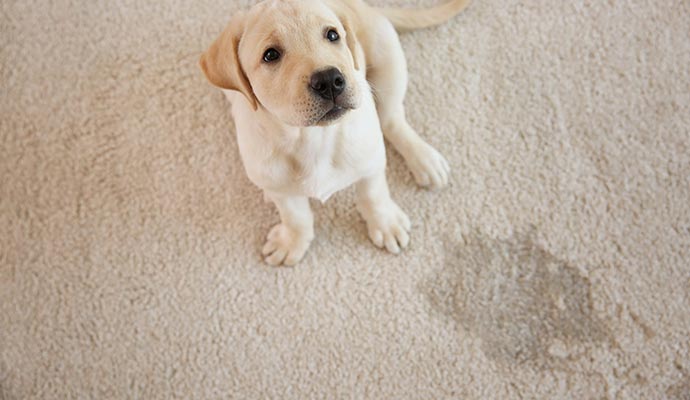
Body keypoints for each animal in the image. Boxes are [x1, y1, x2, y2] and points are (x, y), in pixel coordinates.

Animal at [198, 0, 468, 266]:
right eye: (271, 55)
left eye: (332, 35)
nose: (329, 80)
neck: (312, 138)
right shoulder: (277, 186)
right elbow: (295, 216)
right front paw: (292, 241)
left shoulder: (371, 162)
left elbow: (374, 195)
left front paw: (385, 223)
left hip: (388, 57)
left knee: (392, 119)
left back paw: (425, 160)